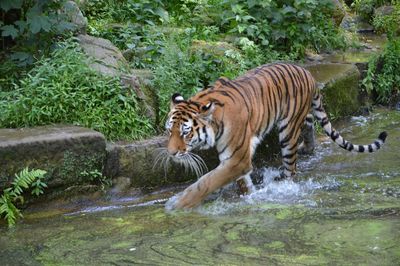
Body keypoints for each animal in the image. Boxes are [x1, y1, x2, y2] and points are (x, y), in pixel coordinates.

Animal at [162, 62, 388, 210]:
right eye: (169, 130)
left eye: (185, 132)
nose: (171, 153)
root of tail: (308, 73)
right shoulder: (235, 159)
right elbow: (242, 183)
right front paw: (250, 196)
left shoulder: (236, 159)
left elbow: (206, 182)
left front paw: (176, 204)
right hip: (301, 119)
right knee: (309, 124)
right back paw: (308, 148)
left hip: (287, 131)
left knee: (291, 168)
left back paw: (285, 183)